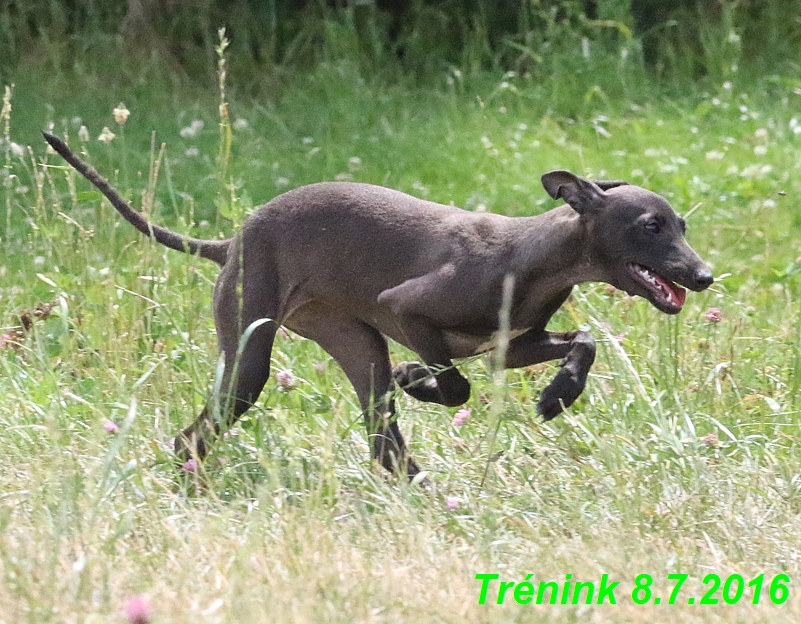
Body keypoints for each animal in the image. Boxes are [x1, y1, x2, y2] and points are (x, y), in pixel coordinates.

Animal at [43, 134, 708, 480]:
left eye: (680, 225)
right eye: (650, 226)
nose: (703, 276)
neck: (533, 256)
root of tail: (230, 241)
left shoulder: (511, 345)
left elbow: (583, 341)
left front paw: (558, 395)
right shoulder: (404, 309)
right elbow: (456, 385)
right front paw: (420, 379)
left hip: (356, 345)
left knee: (383, 443)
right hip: (251, 359)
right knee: (194, 435)